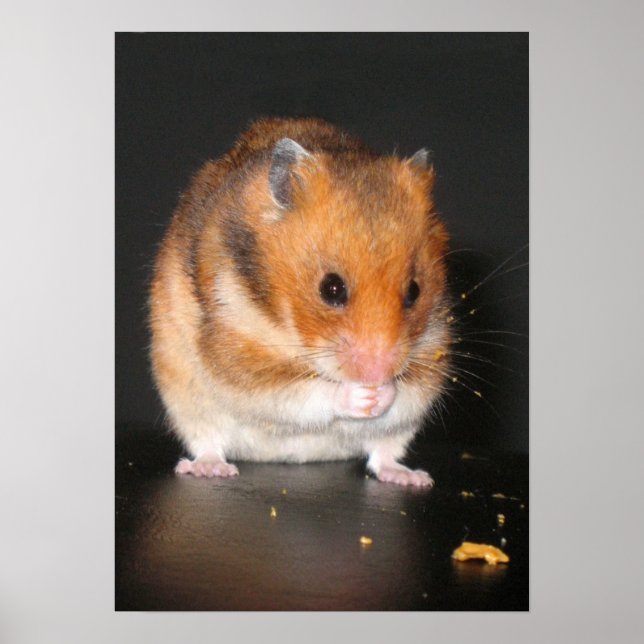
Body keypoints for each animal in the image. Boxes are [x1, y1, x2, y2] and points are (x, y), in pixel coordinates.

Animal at [149, 117, 451, 486]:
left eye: (414, 291)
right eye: (331, 289)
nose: (376, 374)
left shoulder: (431, 355)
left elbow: (406, 392)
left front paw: (381, 393)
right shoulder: (240, 352)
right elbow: (310, 392)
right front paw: (363, 394)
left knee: (383, 455)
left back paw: (414, 478)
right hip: (189, 401)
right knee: (208, 442)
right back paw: (210, 468)